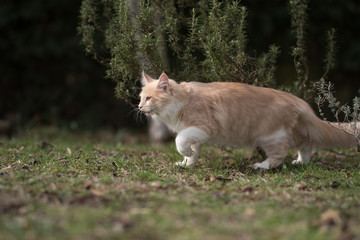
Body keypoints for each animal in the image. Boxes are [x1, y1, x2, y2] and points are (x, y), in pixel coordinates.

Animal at [139, 71, 358, 169]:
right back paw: (301, 162)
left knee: (279, 155)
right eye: (140, 98)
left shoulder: (202, 127)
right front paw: (187, 162)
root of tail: (297, 100)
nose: (140, 107)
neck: (183, 100)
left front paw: (186, 155)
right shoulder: (196, 133)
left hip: (270, 136)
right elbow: (192, 152)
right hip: (290, 133)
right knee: (306, 144)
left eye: (148, 98)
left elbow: (179, 141)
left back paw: (263, 166)